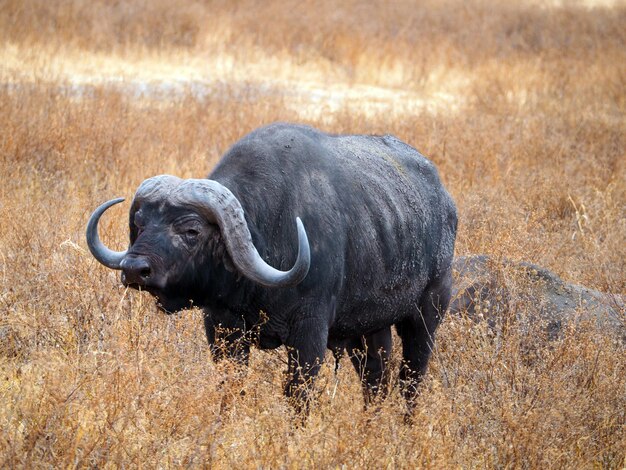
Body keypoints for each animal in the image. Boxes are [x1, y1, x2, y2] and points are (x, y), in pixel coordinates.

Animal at [88, 124, 456, 412]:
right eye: (140, 223)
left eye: (191, 230)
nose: (134, 268)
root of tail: (444, 199)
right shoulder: (222, 328)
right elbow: (231, 388)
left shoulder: (309, 334)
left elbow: (298, 396)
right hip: (368, 330)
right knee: (376, 381)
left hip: (426, 315)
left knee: (411, 380)